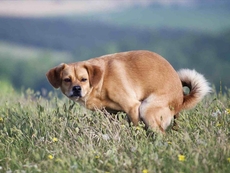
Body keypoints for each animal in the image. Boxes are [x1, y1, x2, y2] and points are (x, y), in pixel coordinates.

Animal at [46, 50, 210, 133]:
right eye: (67, 80)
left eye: (83, 79)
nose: (77, 88)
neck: (101, 81)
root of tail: (181, 98)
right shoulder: (109, 113)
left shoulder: (132, 107)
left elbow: (136, 127)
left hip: (147, 109)